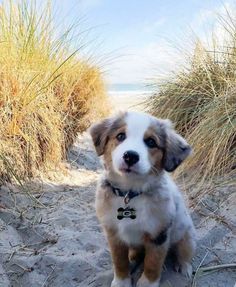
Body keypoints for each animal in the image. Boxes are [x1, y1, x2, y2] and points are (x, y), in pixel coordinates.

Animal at [89, 112, 196, 287]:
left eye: (151, 142)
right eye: (120, 136)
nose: (130, 156)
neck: (130, 193)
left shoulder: (158, 235)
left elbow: (153, 263)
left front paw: (147, 283)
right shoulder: (113, 233)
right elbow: (119, 261)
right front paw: (121, 281)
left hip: (187, 236)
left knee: (184, 253)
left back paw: (184, 267)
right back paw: (134, 257)